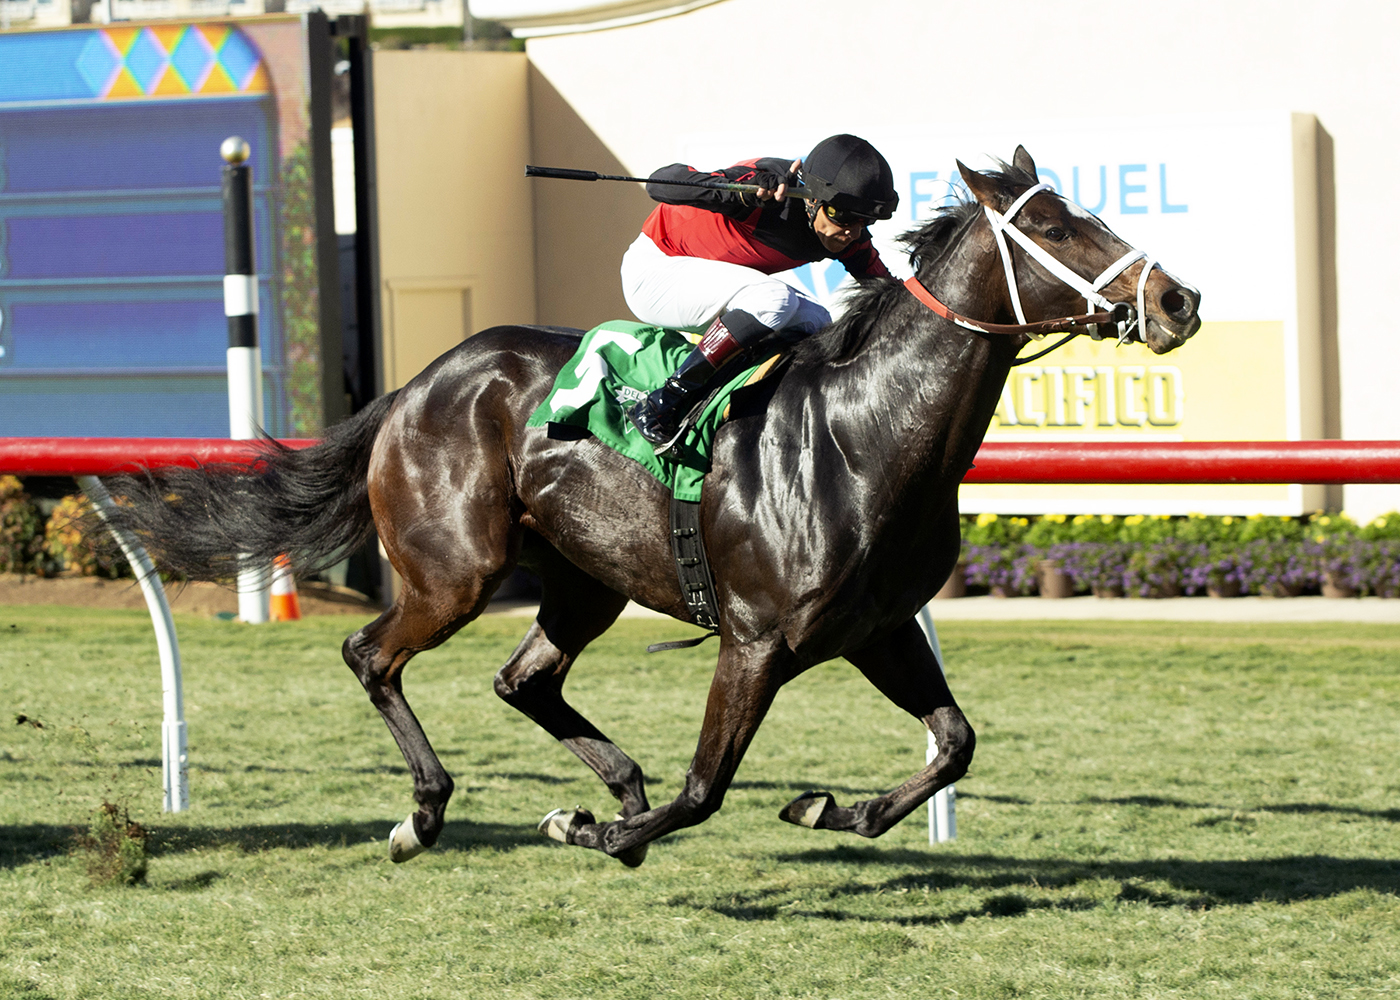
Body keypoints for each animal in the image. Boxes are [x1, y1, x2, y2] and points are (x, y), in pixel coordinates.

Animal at [112, 147, 1204, 862]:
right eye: (1054, 227)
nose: (1176, 300)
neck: (864, 433)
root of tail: (417, 382)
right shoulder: (758, 640)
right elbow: (704, 787)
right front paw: (610, 832)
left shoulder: (878, 627)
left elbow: (954, 745)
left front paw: (825, 811)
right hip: (455, 571)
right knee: (370, 655)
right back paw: (425, 815)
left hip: (583, 578)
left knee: (523, 681)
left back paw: (605, 785)